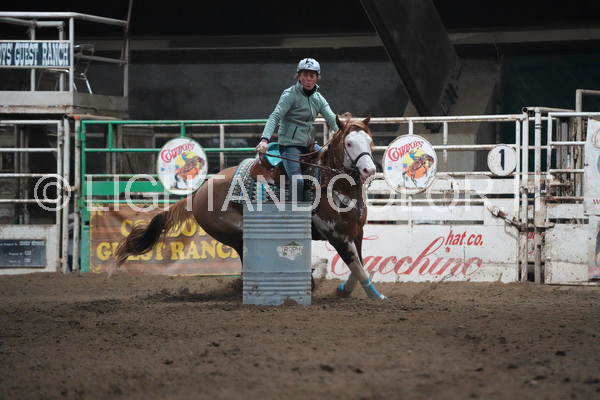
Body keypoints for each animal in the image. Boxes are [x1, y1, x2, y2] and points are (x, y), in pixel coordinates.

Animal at [112, 114, 386, 300]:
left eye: (369, 140)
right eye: (349, 143)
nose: (370, 170)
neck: (330, 182)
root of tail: (198, 194)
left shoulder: (356, 232)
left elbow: (358, 265)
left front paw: (344, 290)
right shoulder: (337, 235)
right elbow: (357, 266)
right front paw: (376, 296)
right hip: (237, 232)